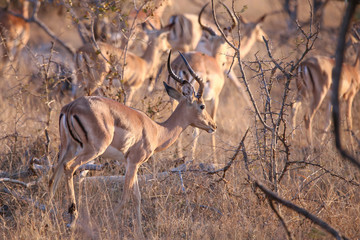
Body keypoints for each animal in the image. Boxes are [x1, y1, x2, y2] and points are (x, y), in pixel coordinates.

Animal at [48, 50, 217, 238]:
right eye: (202, 106)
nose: (213, 125)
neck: (157, 130)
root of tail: (70, 107)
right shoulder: (134, 162)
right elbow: (126, 196)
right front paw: (103, 225)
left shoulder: (131, 163)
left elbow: (137, 197)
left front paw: (140, 233)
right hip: (92, 150)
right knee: (69, 168)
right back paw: (72, 219)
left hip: (67, 148)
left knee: (53, 177)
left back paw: (48, 215)